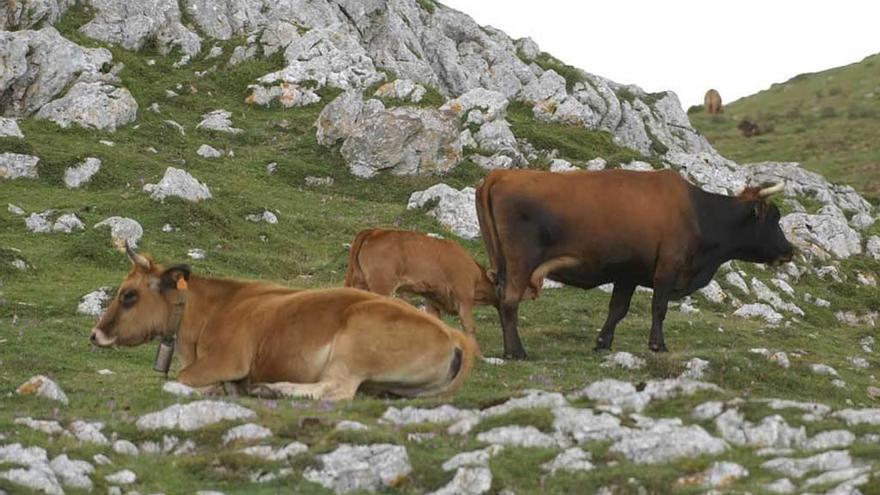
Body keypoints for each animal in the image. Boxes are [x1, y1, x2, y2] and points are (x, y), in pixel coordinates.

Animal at [88, 246, 474, 402]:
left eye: (128, 295)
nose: (95, 334)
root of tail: (454, 337)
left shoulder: (227, 359)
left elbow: (179, 380)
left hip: (356, 344)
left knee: (338, 390)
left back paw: (273, 390)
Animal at [478, 169, 796, 358]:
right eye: (775, 217)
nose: (789, 250)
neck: (699, 214)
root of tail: (501, 174)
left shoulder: (628, 273)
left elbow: (618, 309)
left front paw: (602, 342)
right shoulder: (667, 267)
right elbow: (659, 308)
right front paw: (657, 344)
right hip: (521, 262)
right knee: (509, 301)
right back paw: (516, 351)